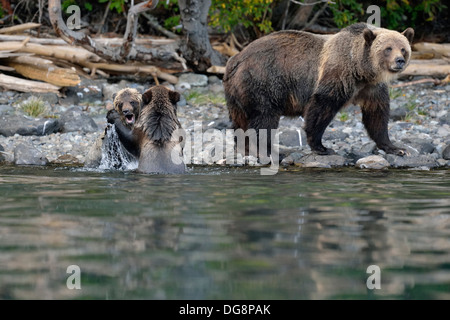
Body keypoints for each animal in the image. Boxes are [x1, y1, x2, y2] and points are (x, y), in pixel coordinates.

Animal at [224, 21, 414, 157]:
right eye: (388, 48)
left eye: (403, 49)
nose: (399, 60)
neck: (361, 71)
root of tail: (236, 58)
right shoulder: (338, 75)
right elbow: (322, 106)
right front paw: (322, 147)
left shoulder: (372, 88)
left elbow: (377, 115)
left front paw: (396, 148)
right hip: (263, 81)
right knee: (264, 116)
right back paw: (266, 150)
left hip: (235, 93)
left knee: (240, 120)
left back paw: (245, 148)